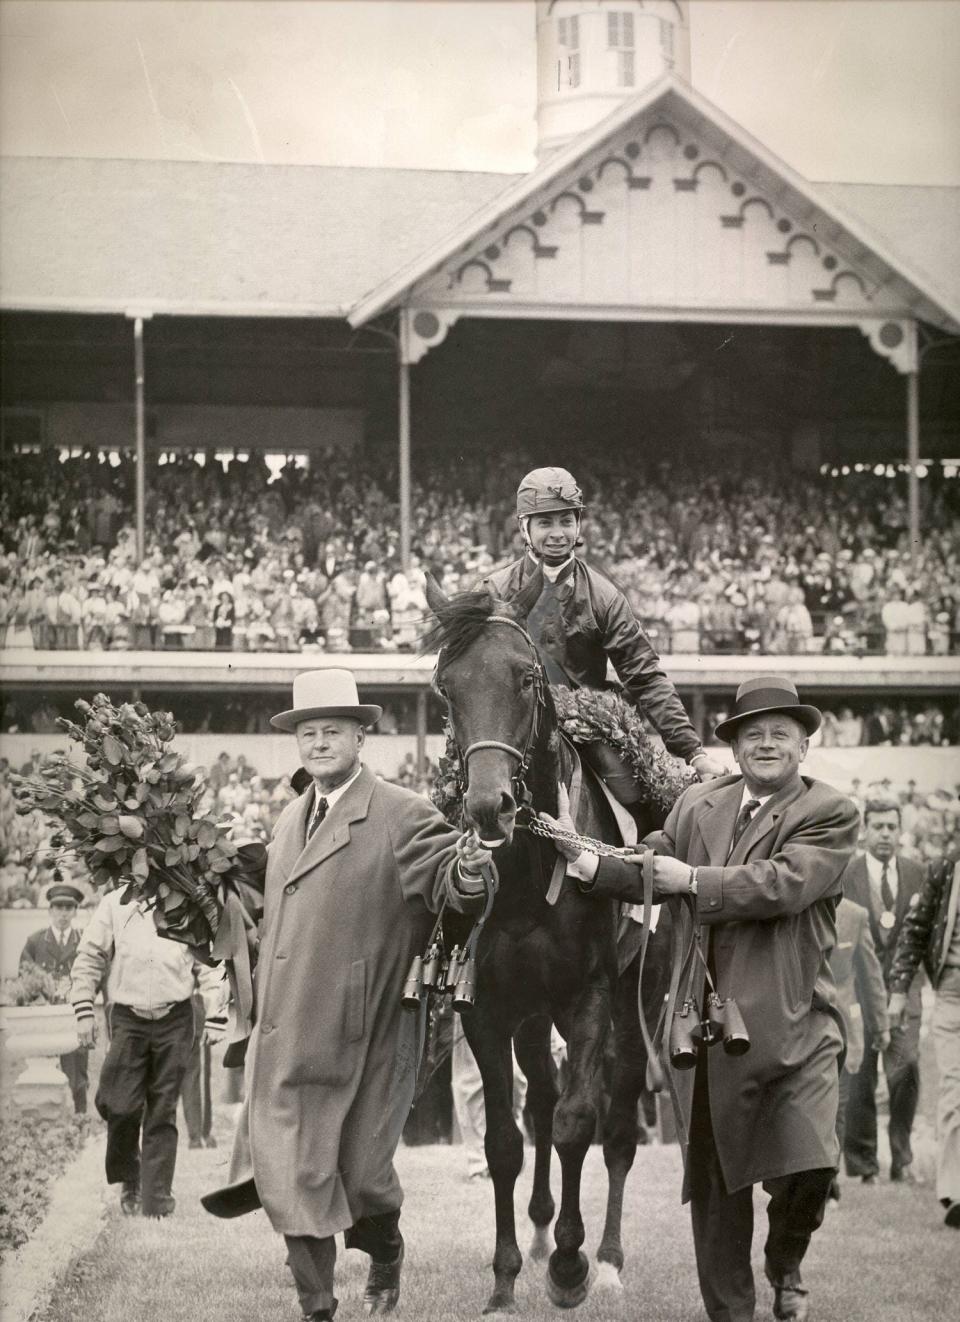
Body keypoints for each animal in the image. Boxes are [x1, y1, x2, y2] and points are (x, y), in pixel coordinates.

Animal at [425, 579, 674, 1311]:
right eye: (446, 687)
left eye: (527, 678)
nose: (488, 806)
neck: (533, 880)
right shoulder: (487, 1008)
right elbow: (506, 1139)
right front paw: (507, 1277)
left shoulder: (587, 999)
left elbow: (575, 1123)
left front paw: (571, 1265)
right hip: (533, 1019)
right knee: (538, 1094)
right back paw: (537, 1233)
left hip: (639, 999)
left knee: (615, 1126)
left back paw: (610, 1258)